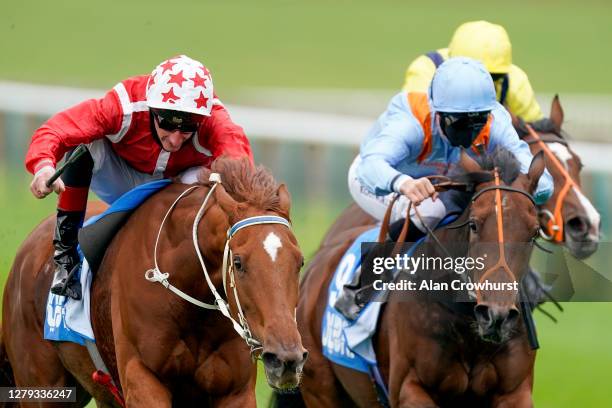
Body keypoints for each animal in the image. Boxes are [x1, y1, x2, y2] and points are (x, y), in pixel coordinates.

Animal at [0, 158, 306, 406]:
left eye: (300, 262)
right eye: (239, 263)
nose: (286, 359)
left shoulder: (235, 391)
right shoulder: (143, 379)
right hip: (43, 386)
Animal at [294, 151, 548, 408]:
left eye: (534, 232)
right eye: (474, 224)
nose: (497, 316)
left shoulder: (515, 392)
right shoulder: (409, 387)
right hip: (320, 387)